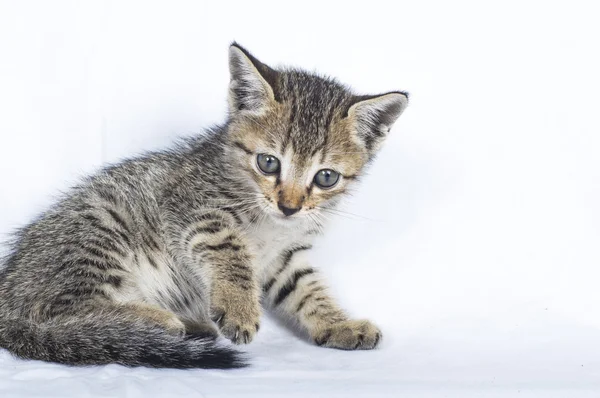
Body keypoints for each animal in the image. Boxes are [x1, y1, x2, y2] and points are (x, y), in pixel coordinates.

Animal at [0, 42, 408, 368]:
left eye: (325, 177)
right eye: (268, 162)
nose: (289, 206)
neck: (269, 224)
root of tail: (7, 296)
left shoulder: (283, 256)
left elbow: (306, 288)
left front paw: (338, 324)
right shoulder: (193, 207)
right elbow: (230, 251)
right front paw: (240, 308)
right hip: (100, 226)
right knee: (58, 311)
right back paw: (162, 321)